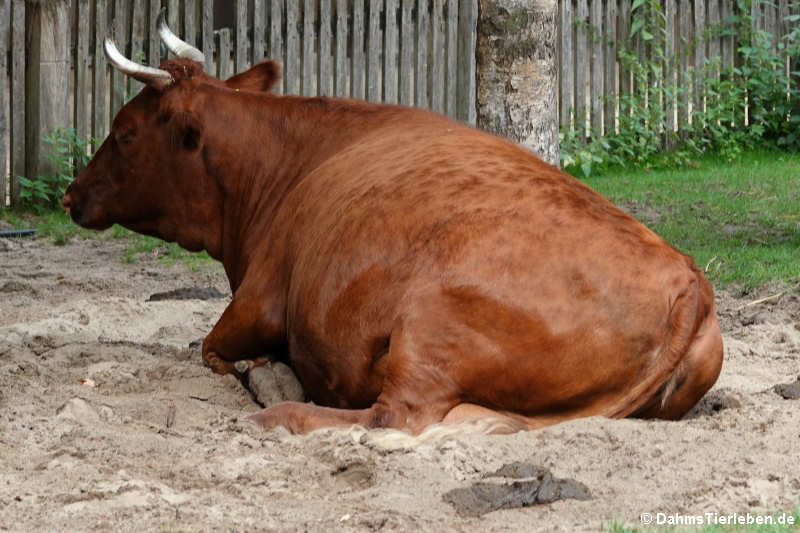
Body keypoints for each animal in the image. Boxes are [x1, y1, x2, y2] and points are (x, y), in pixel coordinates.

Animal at [62, 14, 724, 434]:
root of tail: (688, 279)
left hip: (430, 324)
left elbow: (211, 349)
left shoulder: (254, 301)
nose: (70, 193)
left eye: (124, 132)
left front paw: (268, 376)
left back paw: (280, 412)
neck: (284, 164)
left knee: (396, 416)